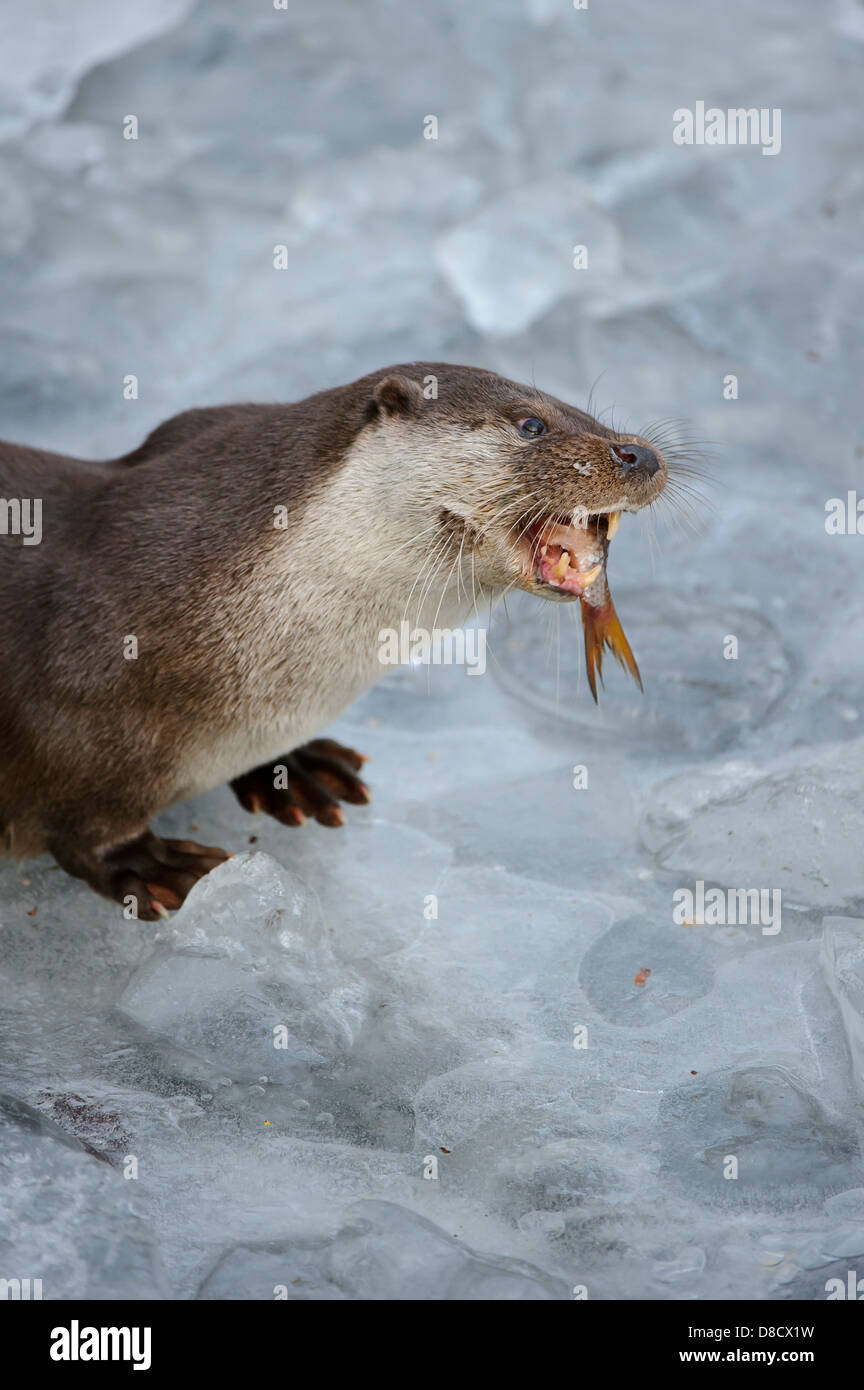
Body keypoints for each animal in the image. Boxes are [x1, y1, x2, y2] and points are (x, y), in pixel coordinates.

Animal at [0, 364, 669, 917]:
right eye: (531, 423)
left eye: (585, 411)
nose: (640, 454)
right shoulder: (72, 712)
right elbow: (84, 827)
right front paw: (153, 865)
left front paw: (293, 767)